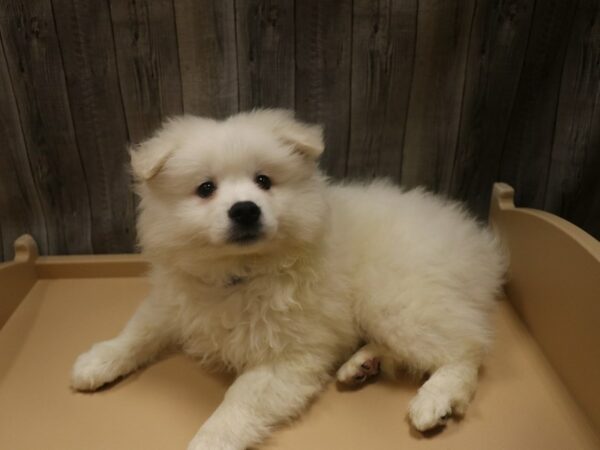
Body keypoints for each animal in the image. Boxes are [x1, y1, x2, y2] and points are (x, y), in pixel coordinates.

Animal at [70, 110, 506, 450]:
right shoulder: (172, 303)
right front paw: (97, 361)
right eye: (205, 188)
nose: (245, 210)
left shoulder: (287, 356)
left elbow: (238, 401)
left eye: (264, 181)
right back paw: (361, 364)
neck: (239, 274)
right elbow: (137, 332)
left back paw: (435, 398)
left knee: (467, 348)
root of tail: (479, 245)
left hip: (395, 300)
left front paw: (210, 440)